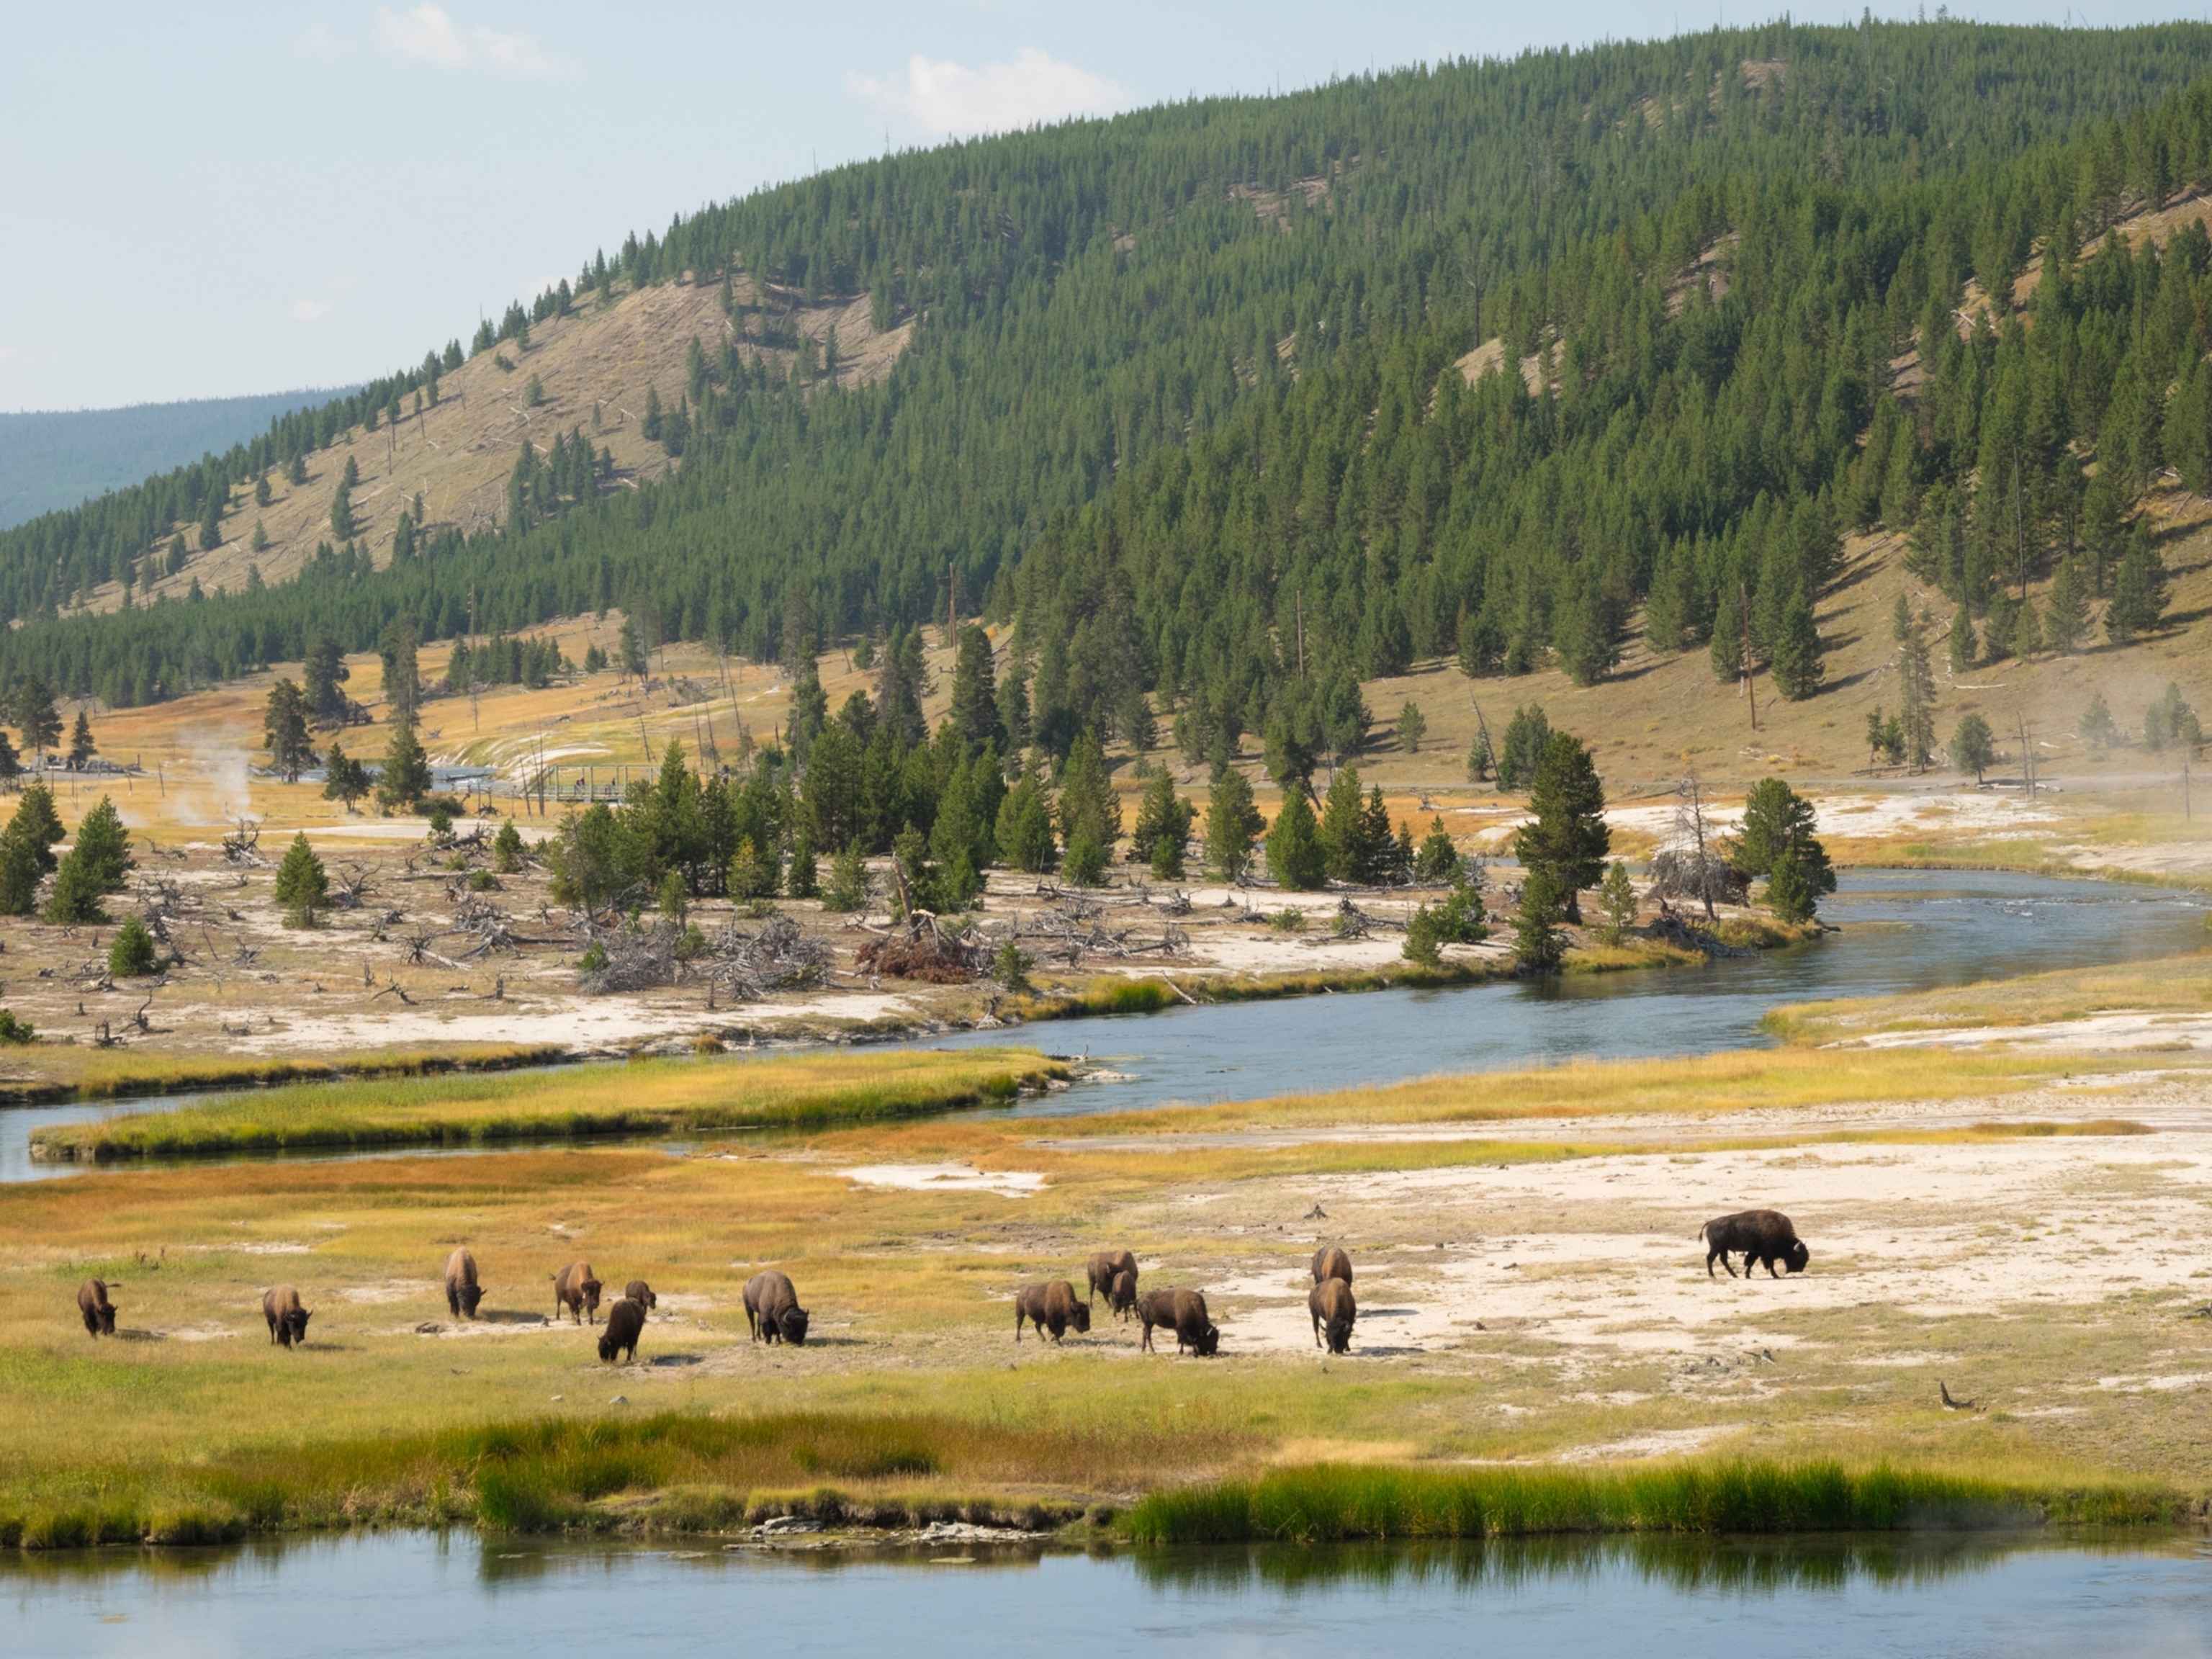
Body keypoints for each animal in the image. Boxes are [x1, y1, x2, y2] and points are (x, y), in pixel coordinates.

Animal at [1700, 1210, 1810, 1280]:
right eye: (1798, 1256)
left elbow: (1750, 1263)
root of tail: (1710, 1222)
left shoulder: (1755, 1252)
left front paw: (1747, 1276)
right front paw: (1776, 1276)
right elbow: (1770, 1265)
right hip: (1716, 1248)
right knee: (1710, 1259)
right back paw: (1713, 1276)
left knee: (1723, 1260)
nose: (1800, 1269)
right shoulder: (1767, 1255)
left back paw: (1734, 1275)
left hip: (1723, 1249)